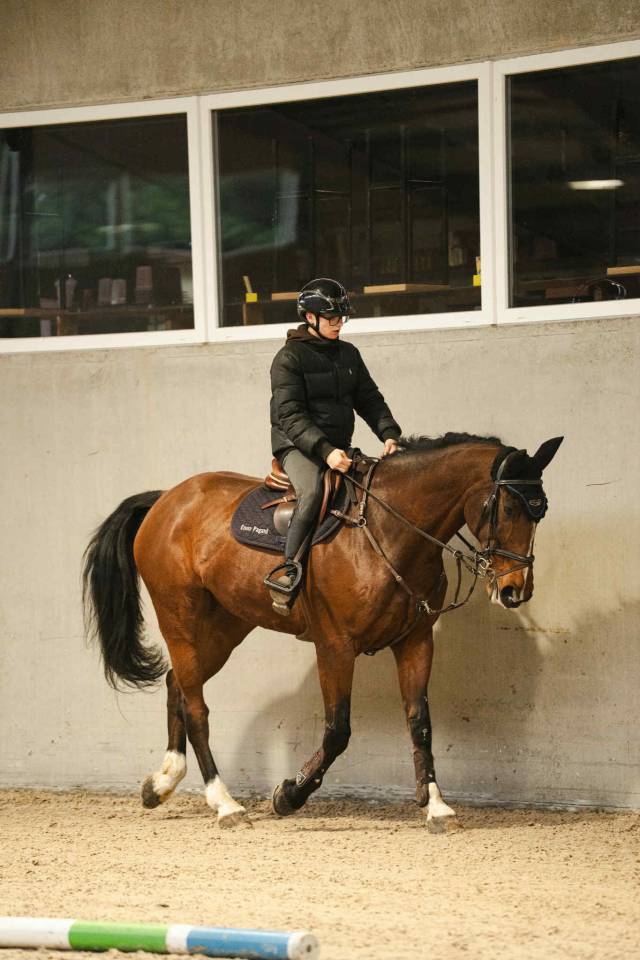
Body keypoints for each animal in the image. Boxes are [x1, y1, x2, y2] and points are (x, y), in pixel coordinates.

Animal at [83, 433, 563, 832]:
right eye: (510, 508)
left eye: (540, 511)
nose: (515, 590)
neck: (387, 531)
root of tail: (167, 500)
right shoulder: (335, 646)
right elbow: (337, 731)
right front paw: (288, 795)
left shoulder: (415, 642)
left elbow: (420, 723)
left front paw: (436, 806)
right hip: (179, 619)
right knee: (196, 707)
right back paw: (225, 804)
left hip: (223, 628)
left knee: (178, 686)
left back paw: (162, 784)